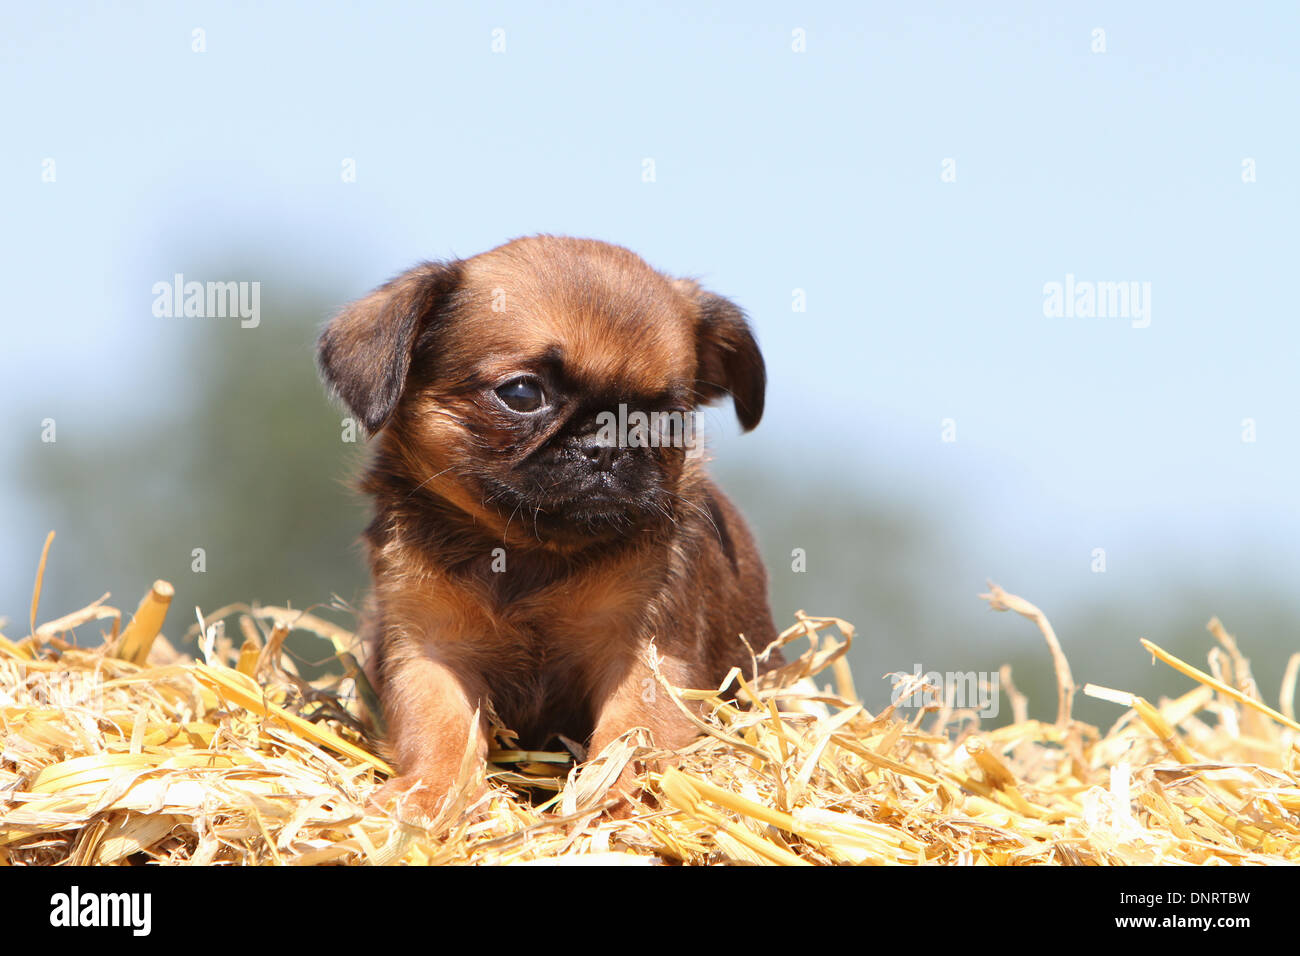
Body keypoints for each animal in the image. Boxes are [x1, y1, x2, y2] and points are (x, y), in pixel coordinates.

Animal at [318, 234, 774, 816]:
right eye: (521, 394)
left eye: (668, 418)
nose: (606, 442)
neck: (527, 550)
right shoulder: (428, 647)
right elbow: (440, 726)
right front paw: (432, 793)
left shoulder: (646, 652)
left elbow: (633, 732)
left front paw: (614, 795)